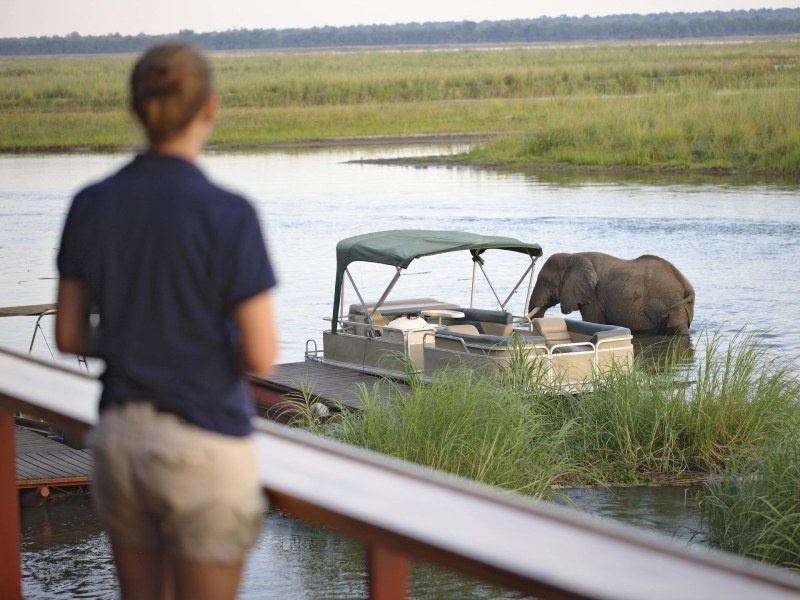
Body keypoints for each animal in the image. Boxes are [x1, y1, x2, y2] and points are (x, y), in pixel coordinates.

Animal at [527, 252, 695, 335]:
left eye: (544, 282)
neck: (572, 256)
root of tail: (686, 285)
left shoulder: (593, 295)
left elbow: (593, 321)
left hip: (673, 304)